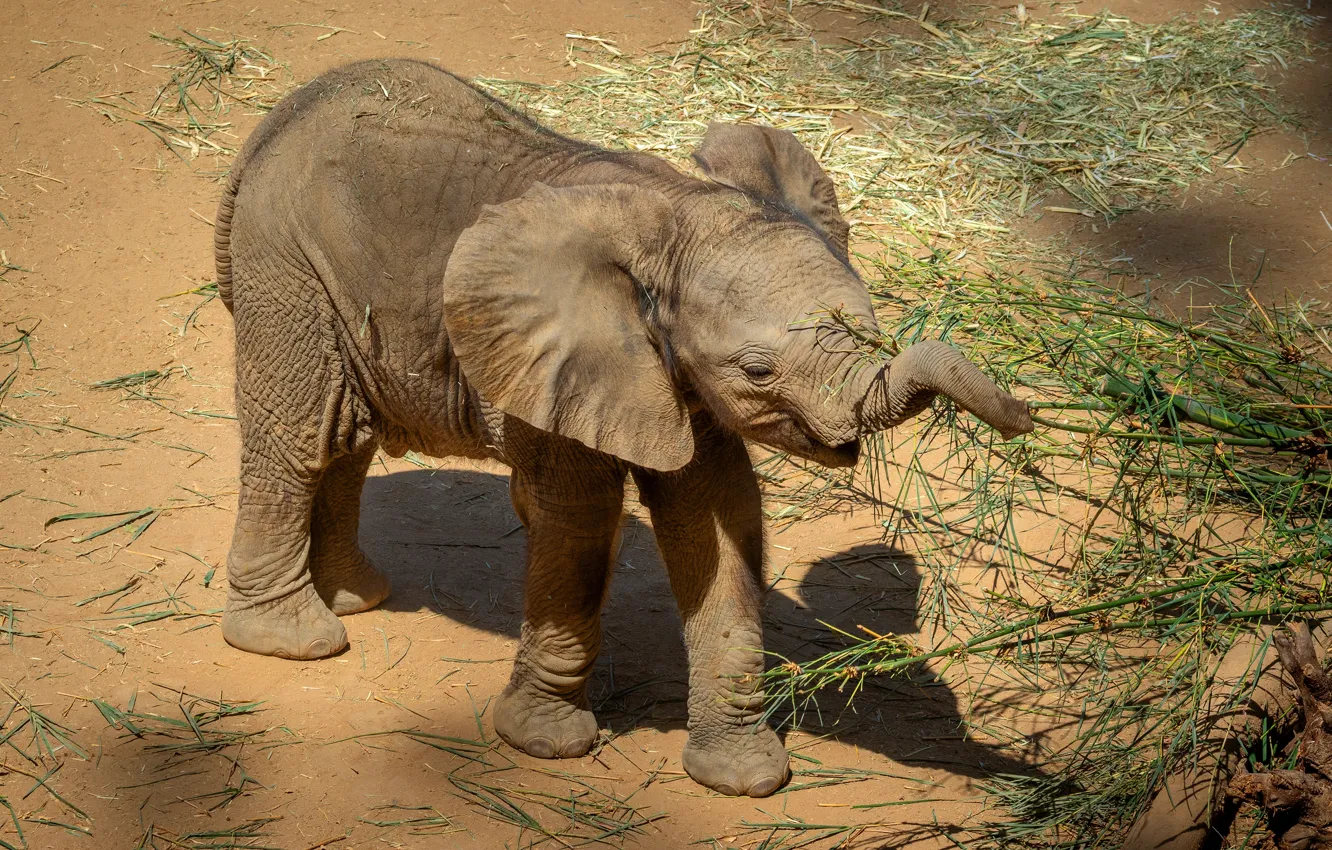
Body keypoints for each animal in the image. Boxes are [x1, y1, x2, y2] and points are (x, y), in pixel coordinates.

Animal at [213, 57, 1033, 798]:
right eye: (758, 370)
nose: (1027, 416)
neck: (675, 215)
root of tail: (278, 120)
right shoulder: (564, 362)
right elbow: (578, 516)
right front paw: (546, 743)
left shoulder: (669, 376)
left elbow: (719, 520)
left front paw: (743, 779)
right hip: (283, 259)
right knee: (299, 436)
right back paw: (296, 638)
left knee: (346, 437)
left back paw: (356, 596)